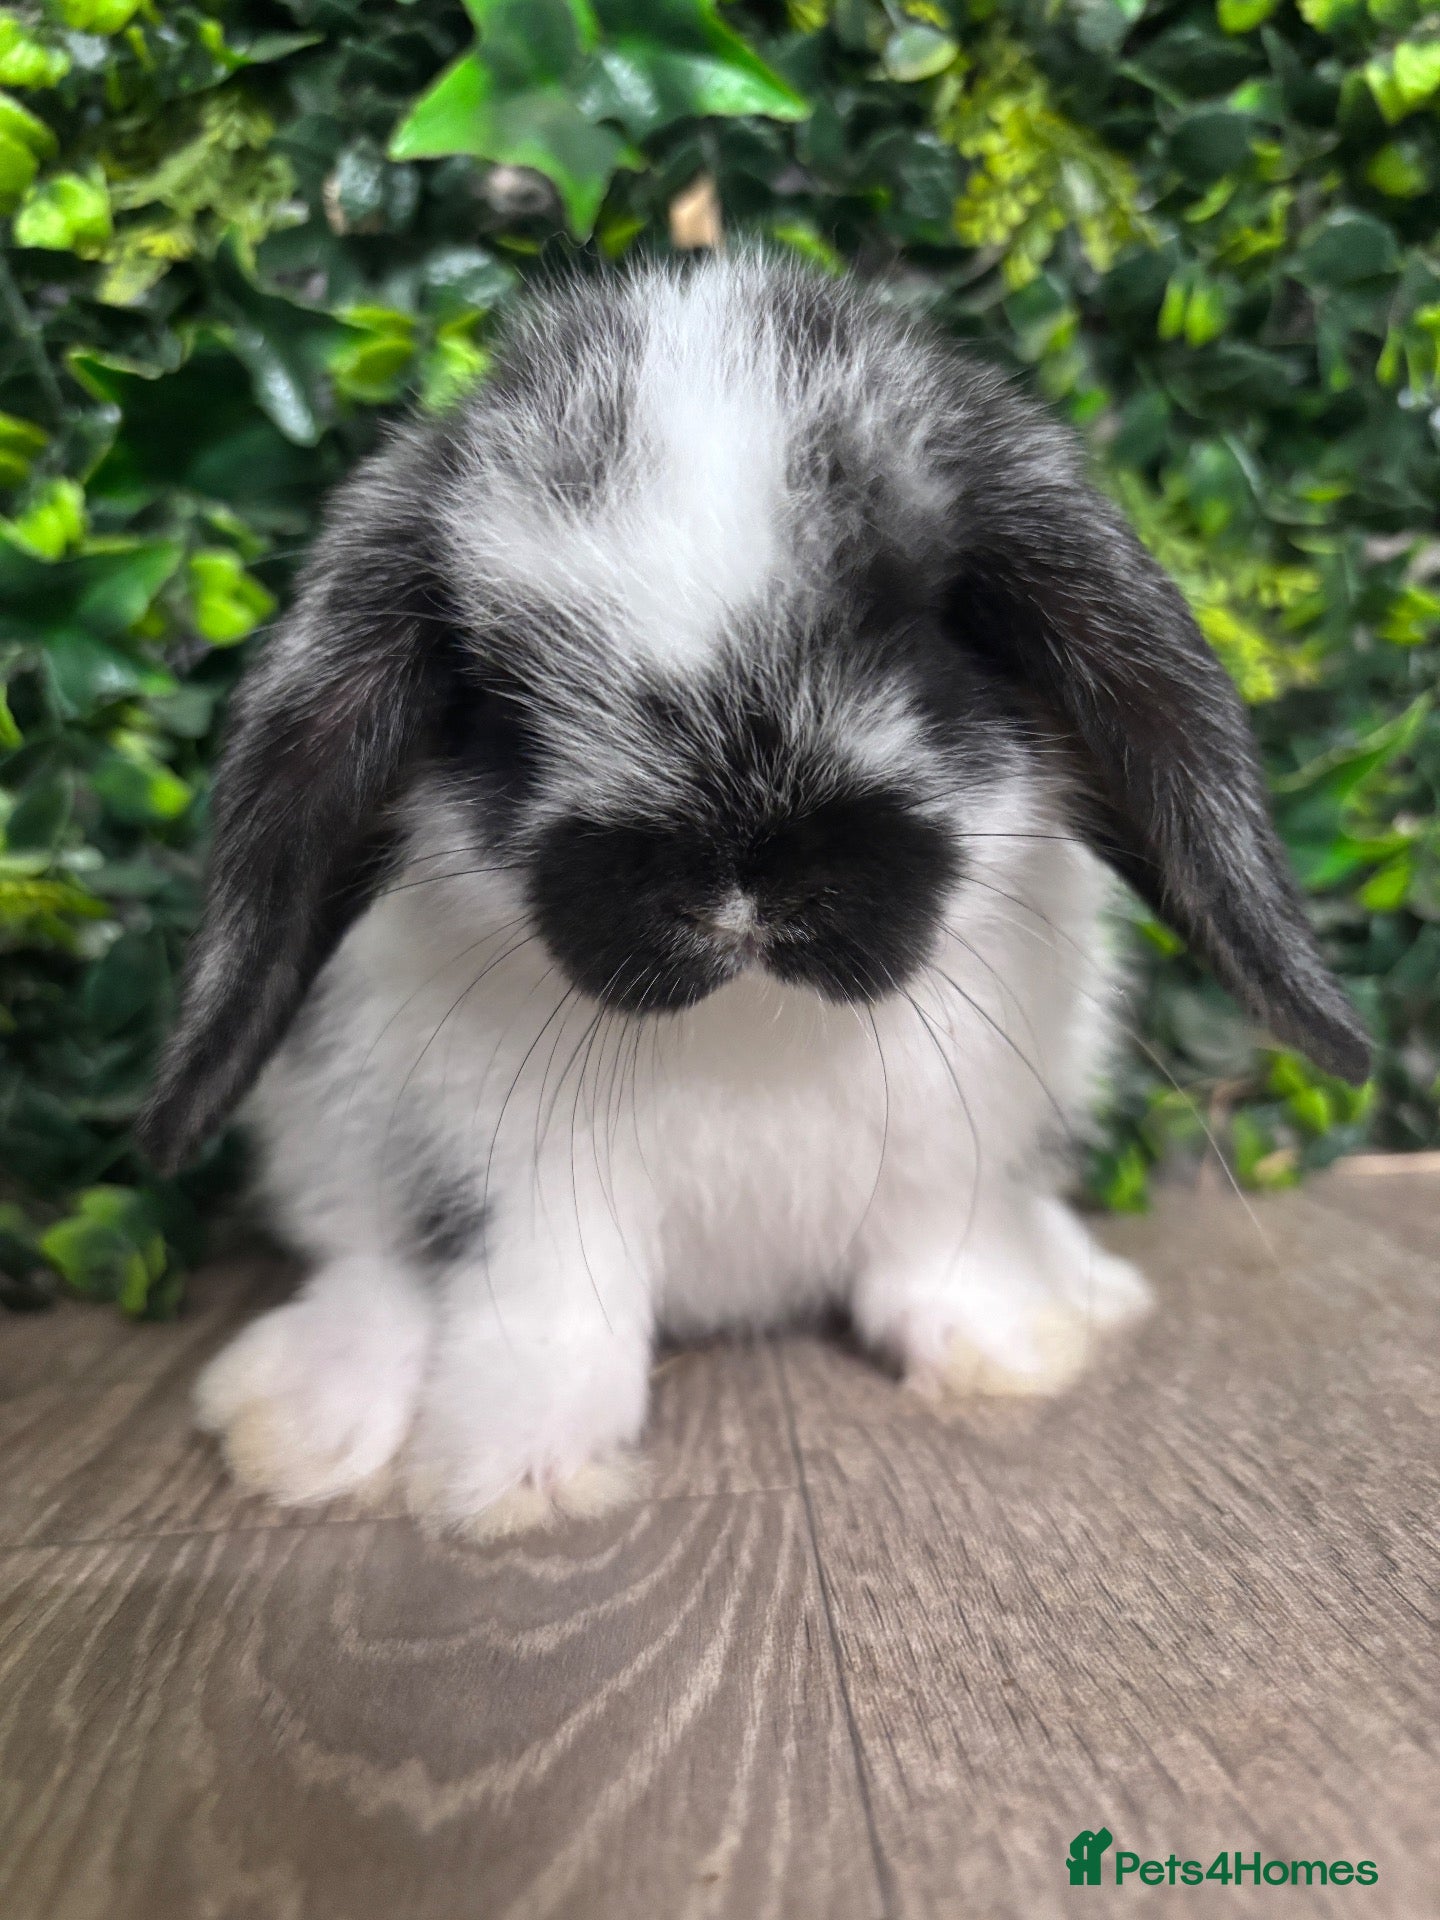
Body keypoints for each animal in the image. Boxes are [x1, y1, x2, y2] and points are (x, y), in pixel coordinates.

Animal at [138, 252, 1368, 1536]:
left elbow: (944, 1252)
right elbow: (545, 1307)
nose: (740, 871)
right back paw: (304, 1418)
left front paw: (1005, 1349)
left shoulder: (952, 1153)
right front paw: (514, 1473)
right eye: (499, 693)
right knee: (370, 1270)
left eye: (933, 626)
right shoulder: (512, 1177)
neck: (752, 1026)